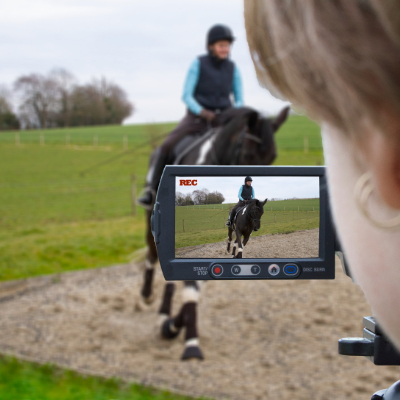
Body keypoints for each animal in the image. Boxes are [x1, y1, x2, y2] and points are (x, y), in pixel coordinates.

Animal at [139, 104, 290, 360]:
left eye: (271, 158)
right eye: (248, 156)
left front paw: (176, 325)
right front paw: (184, 335)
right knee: (152, 253)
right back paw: (150, 298)